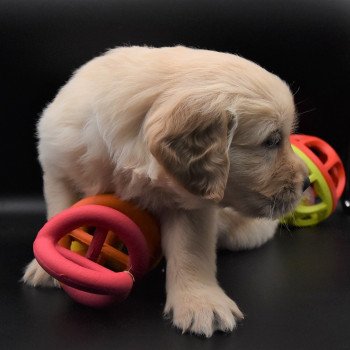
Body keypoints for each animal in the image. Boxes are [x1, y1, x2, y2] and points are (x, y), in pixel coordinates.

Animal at [21, 45, 308, 336]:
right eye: (271, 141)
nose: (306, 182)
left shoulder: (190, 205)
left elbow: (191, 251)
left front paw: (202, 305)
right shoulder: (60, 169)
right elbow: (60, 213)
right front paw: (47, 268)